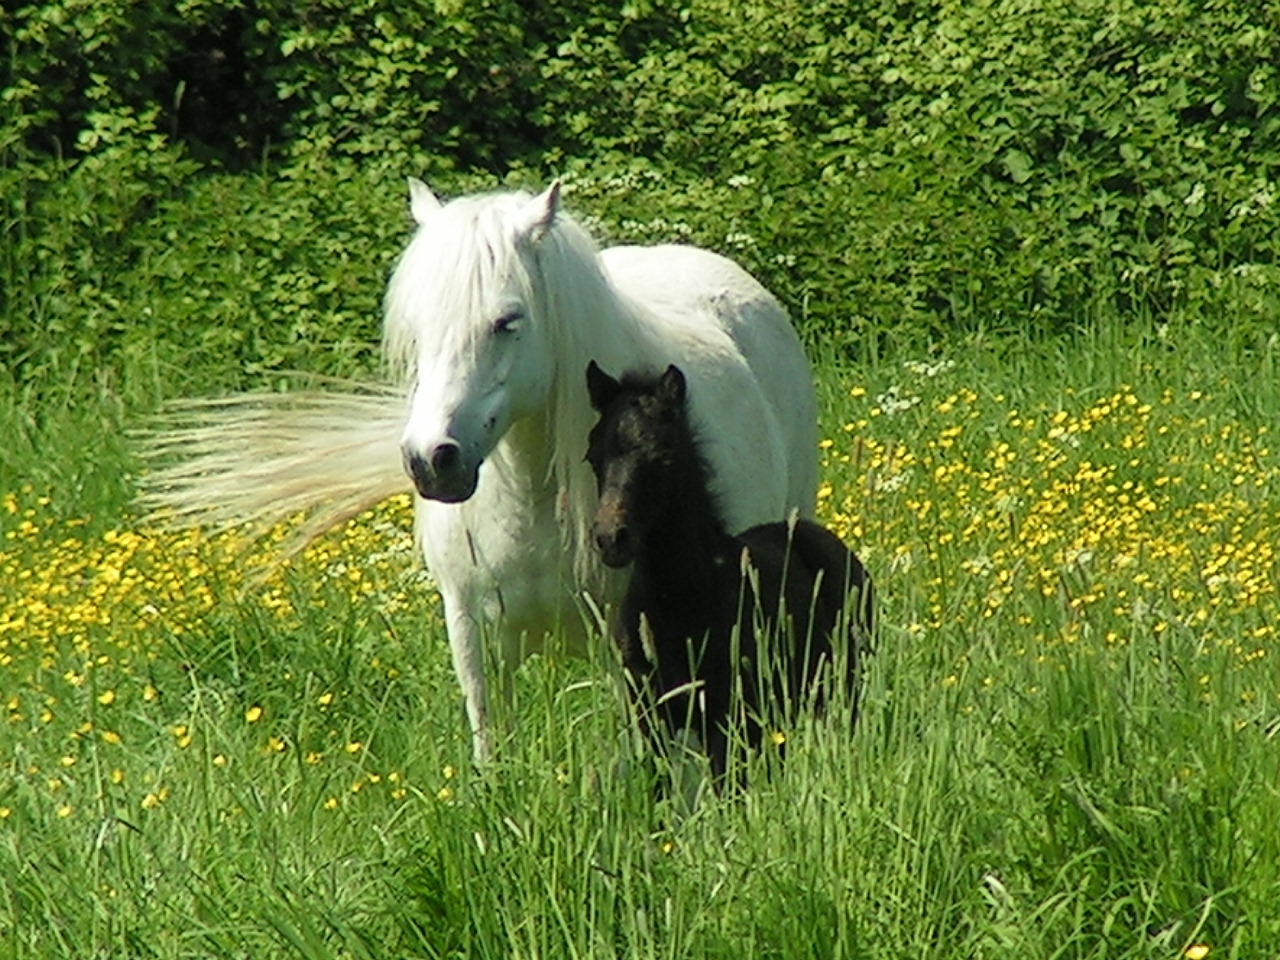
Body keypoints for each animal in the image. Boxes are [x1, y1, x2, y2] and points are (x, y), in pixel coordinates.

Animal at [145, 180, 814, 762]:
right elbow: (491, 742)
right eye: (417, 328)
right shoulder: (471, 630)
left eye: (506, 322)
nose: (430, 461)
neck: (533, 499)